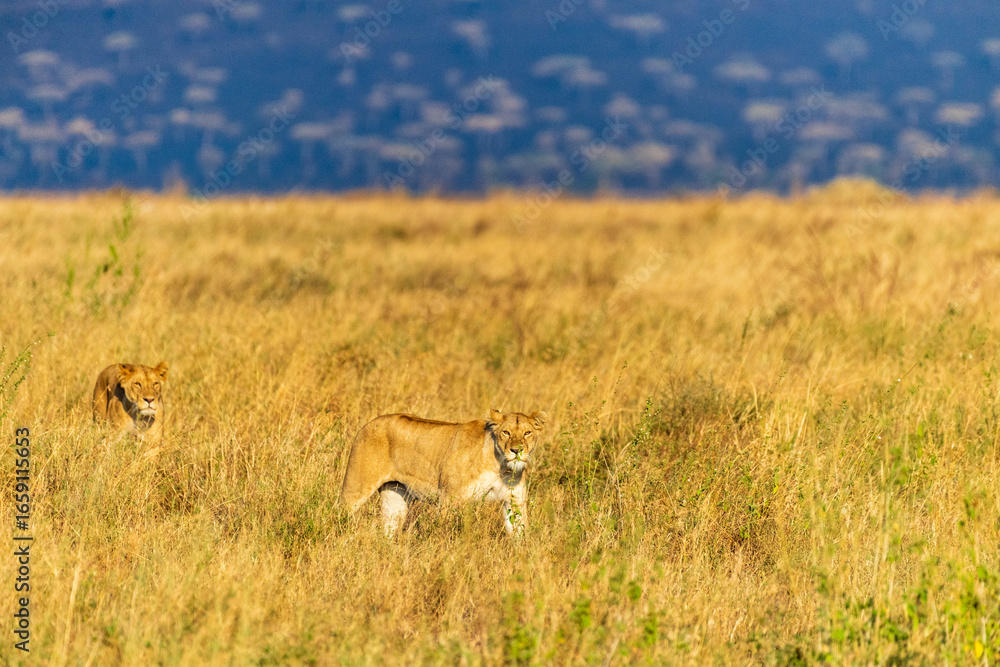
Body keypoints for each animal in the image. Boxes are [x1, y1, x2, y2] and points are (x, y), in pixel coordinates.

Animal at [340, 408, 547, 536]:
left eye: (527, 433)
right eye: (506, 432)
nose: (517, 450)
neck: (500, 466)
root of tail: (369, 423)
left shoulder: (515, 501)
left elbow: (519, 532)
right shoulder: (450, 499)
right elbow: (446, 532)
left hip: (395, 495)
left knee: (388, 529)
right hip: (356, 487)